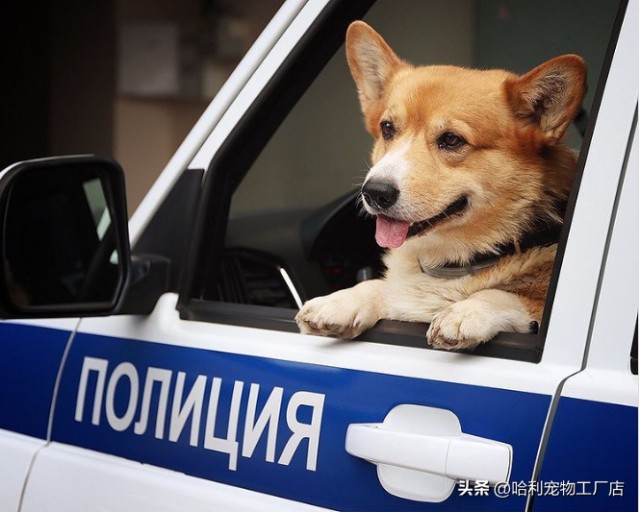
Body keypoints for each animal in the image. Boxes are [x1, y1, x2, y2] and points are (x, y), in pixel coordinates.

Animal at [296, 19, 584, 348]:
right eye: (387, 128)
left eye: (451, 140)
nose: (374, 192)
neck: (450, 264)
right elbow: (382, 286)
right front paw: (341, 301)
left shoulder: (531, 301)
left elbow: (502, 295)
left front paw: (465, 313)